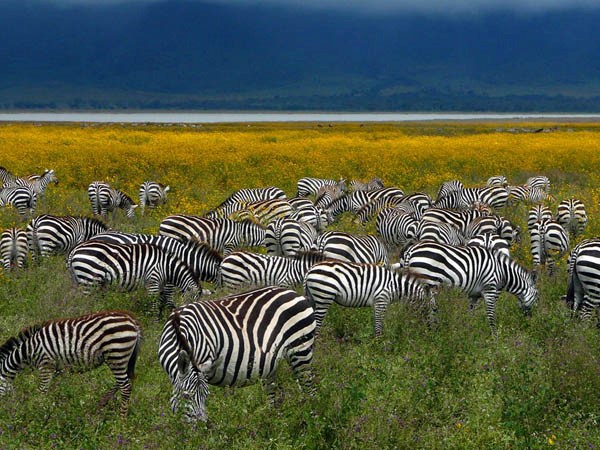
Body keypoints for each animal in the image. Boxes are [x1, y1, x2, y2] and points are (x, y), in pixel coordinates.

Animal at [0, 311, 141, 417]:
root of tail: (133, 321)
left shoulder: (46, 365)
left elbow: (42, 391)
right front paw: (56, 409)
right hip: (122, 358)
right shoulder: (57, 370)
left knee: (125, 386)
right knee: (124, 380)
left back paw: (121, 420)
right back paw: (101, 404)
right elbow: (56, 390)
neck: (29, 350)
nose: (6, 413)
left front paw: (37, 413)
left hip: (116, 354)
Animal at [68, 241, 201, 317]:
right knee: (85, 303)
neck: (167, 267)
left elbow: (163, 301)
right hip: (89, 279)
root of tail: (75, 249)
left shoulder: (161, 285)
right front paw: (154, 321)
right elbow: (154, 303)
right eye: (192, 303)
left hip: (80, 280)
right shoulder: (153, 281)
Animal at [159, 286, 316, 422]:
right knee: (273, 394)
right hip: (273, 363)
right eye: (186, 396)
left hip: (300, 350)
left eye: (206, 396)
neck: (178, 330)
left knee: (310, 389)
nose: (203, 428)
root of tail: (296, 294)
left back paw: (312, 422)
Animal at [303, 261, 432, 337]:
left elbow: (376, 323)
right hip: (324, 297)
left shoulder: (377, 303)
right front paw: (379, 345)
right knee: (317, 324)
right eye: (429, 308)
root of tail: (310, 270)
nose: (429, 330)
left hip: (314, 298)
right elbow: (379, 324)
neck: (395, 286)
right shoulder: (381, 300)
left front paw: (374, 342)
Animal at [402, 241, 538, 333]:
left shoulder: (474, 295)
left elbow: (471, 313)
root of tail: (411, 250)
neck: (503, 273)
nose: (531, 320)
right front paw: (494, 337)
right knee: (422, 308)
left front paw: (468, 331)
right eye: (537, 296)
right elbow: (490, 314)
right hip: (427, 282)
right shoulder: (490, 290)